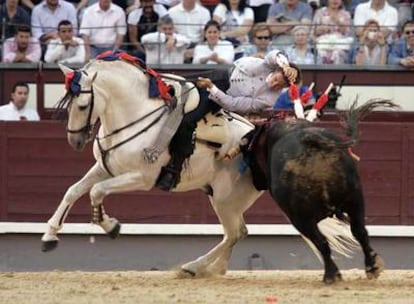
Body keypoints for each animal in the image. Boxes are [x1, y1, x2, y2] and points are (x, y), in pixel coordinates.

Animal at [41, 55, 262, 276]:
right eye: (68, 103)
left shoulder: (142, 178)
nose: (75, 141)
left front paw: (111, 226)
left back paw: (194, 267)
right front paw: (49, 236)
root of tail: (255, 134)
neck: (134, 115)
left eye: (83, 105)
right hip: (221, 199)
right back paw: (215, 268)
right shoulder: (104, 168)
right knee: (238, 232)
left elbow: (96, 191)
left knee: (233, 234)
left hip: (226, 200)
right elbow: (73, 190)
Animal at [244, 101, 396, 284]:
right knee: (359, 231)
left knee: (322, 242)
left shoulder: (298, 217)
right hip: (355, 198)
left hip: (301, 217)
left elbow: (320, 243)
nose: (256, 182)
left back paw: (330, 275)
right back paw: (372, 267)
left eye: (250, 153)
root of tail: (310, 140)